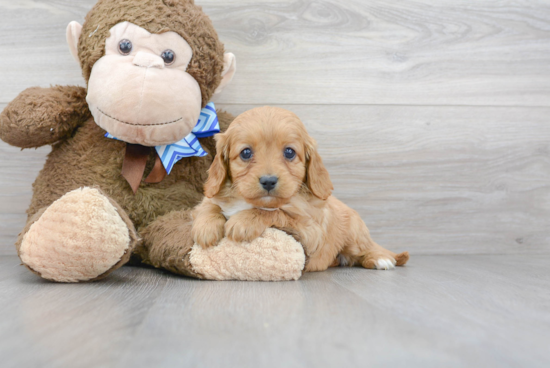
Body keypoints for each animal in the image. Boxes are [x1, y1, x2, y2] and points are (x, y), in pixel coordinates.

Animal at [193, 105, 410, 270]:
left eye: (289, 152)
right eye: (246, 153)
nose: (269, 181)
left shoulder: (310, 231)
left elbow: (275, 212)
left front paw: (244, 221)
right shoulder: (210, 198)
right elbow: (209, 205)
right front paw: (206, 227)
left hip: (355, 235)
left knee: (365, 250)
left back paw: (380, 259)